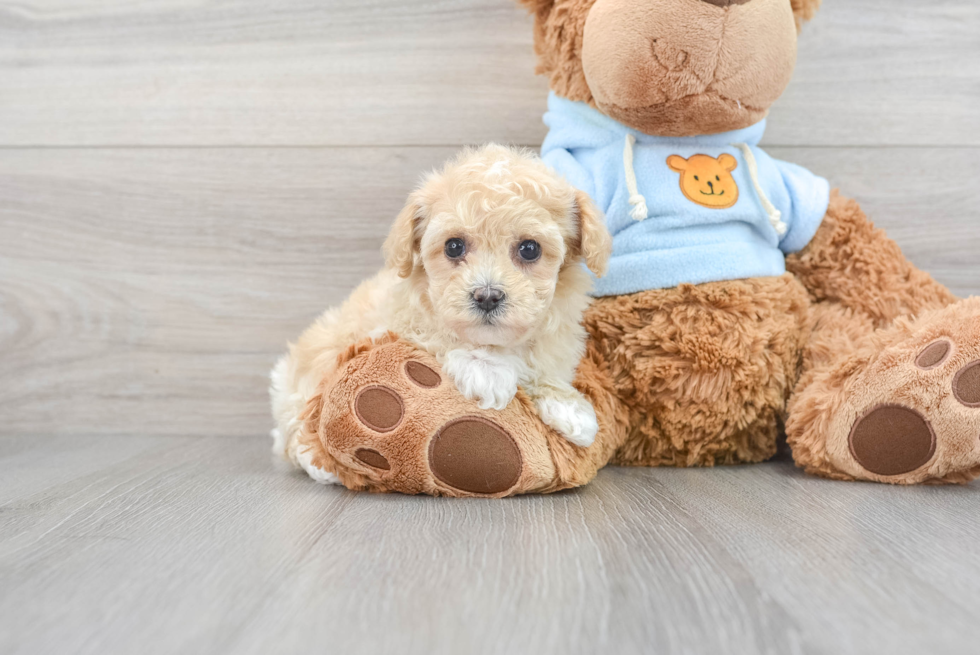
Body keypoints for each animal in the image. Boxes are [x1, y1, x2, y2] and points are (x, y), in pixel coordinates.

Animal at [268, 145, 612, 482]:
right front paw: (487, 369)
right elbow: (437, 333)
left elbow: (543, 364)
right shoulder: (395, 322)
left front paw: (567, 405)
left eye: (530, 249)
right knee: (291, 430)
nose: (487, 296)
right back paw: (318, 463)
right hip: (298, 382)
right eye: (453, 246)